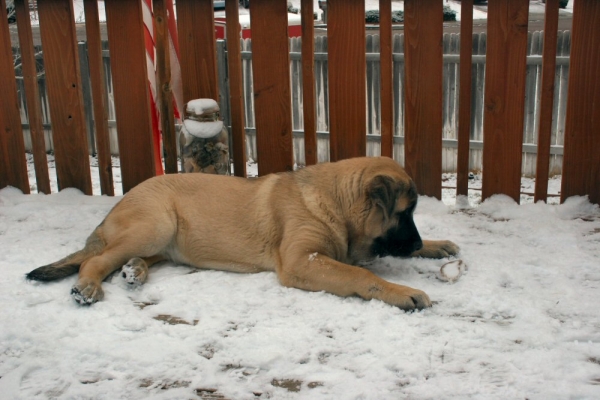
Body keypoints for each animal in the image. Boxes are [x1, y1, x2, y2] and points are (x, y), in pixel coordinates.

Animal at [25, 156, 460, 310]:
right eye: (403, 214)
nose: (417, 241)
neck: (334, 203)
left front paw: (436, 246)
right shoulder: (302, 260)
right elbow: (359, 274)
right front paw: (403, 293)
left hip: (161, 240)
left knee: (128, 259)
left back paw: (134, 271)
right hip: (156, 224)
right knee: (98, 260)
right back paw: (88, 287)